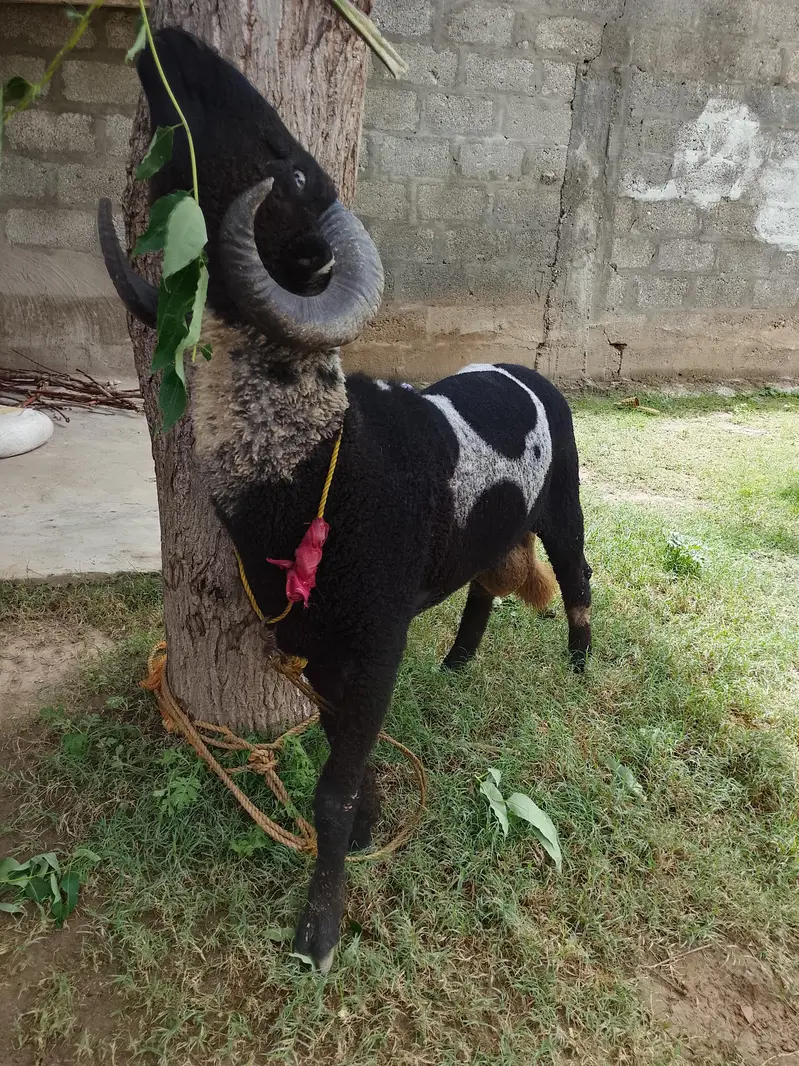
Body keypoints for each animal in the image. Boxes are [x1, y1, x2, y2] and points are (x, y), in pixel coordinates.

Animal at [99, 28, 592, 973]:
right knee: (483, 586)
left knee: (580, 577)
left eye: (283, 166)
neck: (320, 457)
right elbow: (335, 753)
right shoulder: (307, 643)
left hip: (565, 503)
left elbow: (328, 786)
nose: (168, 39)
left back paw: (582, 664)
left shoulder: (374, 643)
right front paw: (369, 823)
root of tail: (525, 368)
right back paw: (460, 660)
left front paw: (319, 929)